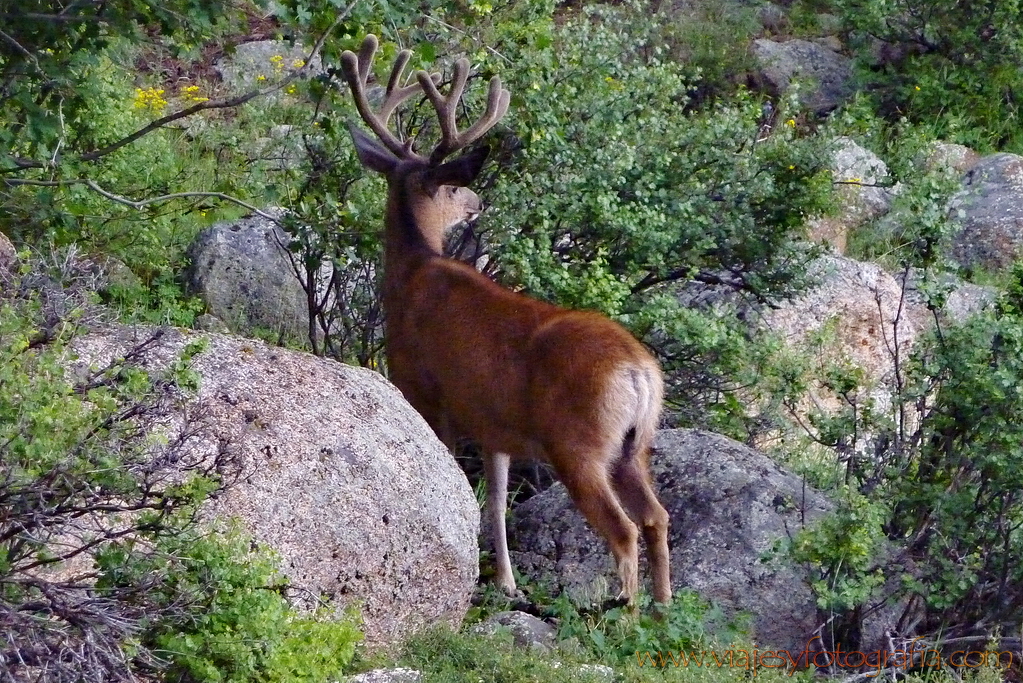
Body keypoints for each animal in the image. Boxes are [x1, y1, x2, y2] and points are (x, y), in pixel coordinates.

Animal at [339, 34, 671, 605]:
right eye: (454, 189)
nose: (476, 201)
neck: (414, 271)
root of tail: (638, 372)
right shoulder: (492, 423)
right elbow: (492, 499)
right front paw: (507, 582)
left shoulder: (425, 388)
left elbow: (457, 482)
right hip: (635, 446)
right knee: (657, 518)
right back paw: (663, 610)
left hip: (579, 445)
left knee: (624, 529)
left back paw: (622, 610)